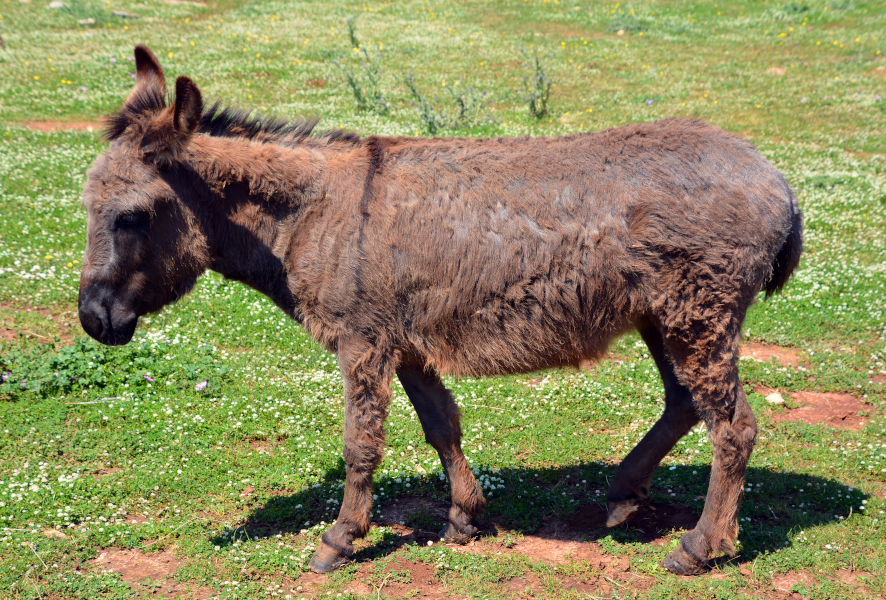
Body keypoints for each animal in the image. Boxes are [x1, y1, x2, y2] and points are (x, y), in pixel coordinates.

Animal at [78, 45, 802, 575]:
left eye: (132, 217)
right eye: (87, 205)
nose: (92, 320)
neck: (311, 214)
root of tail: (777, 180)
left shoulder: (363, 344)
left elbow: (362, 445)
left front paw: (340, 538)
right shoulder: (407, 344)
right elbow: (441, 426)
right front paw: (464, 518)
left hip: (698, 315)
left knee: (732, 427)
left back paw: (698, 548)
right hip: (663, 316)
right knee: (684, 403)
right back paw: (625, 494)